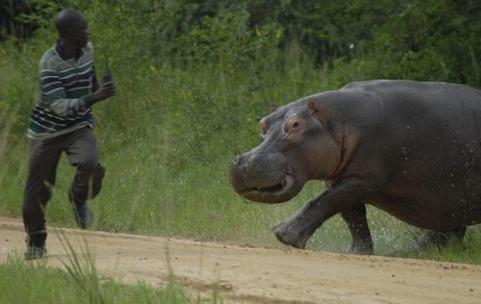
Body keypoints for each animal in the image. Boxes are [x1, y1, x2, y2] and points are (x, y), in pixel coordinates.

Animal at [228, 79, 480, 253]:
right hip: (451, 200)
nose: (244, 162)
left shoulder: (362, 179)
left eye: (296, 125)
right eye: (264, 123)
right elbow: (353, 217)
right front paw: (356, 251)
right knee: (450, 229)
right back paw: (417, 249)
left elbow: (324, 202)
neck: (339, 121)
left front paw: (284, 235)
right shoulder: (342, 178)